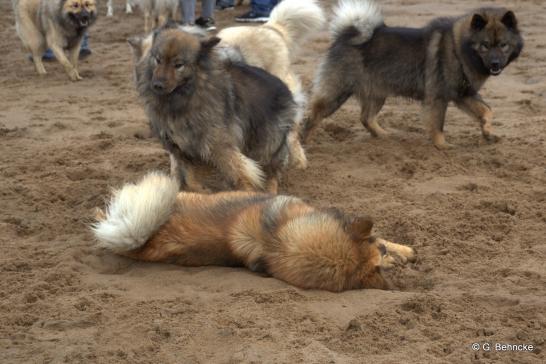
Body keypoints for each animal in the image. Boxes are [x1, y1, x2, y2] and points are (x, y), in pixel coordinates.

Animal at [132, 25, 300, 193]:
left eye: (178, 65)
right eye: (158, 60)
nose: (157, 85)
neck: (185, 97)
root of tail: (284, 88)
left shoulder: (219, 147)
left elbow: (239, 172)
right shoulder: (184, 150)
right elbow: (192, 180)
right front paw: (201, 192)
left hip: (266, 145)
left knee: (271, 173)